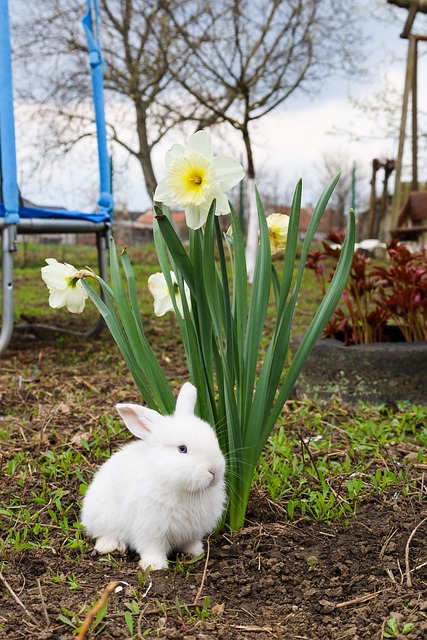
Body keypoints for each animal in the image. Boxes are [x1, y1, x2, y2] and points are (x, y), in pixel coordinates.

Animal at [80, 382, 226, 570]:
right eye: (182, 449)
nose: (214, 470)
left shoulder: (192, 531)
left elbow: (190, 543)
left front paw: (196, 552)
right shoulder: (150, 529)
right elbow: (152, 548)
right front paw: (154, 565)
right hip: (104, 517)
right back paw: (110, 546)